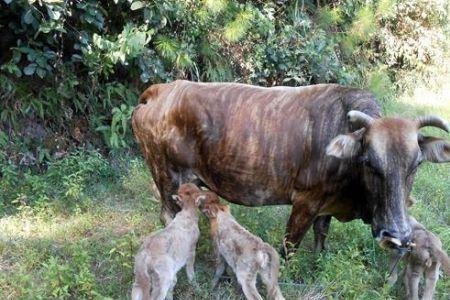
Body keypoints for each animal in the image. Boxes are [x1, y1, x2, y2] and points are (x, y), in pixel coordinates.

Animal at [131, 80, 450, 253]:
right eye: (369, 162)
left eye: (416, 164)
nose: (397, 235)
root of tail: (161, 90)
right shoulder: (305, 202)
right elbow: (290, 247)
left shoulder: (327, 205)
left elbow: (321, 236)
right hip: (166, 176)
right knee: (168, 217)